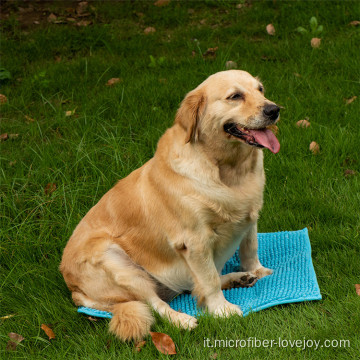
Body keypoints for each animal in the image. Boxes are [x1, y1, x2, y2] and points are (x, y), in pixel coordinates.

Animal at [60, 69, 282, 340]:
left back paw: (238, 278)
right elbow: (208, 280)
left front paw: (257, 271)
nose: (274, 109)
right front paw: (221, 310)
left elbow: (250, 249)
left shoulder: (250, 217)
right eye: (235, 96)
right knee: (155, 304)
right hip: (117, 262)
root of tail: (73, 289)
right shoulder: (194, 241)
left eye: (260, 90)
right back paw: (182, 320)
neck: (229, 171)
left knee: (189, 287)